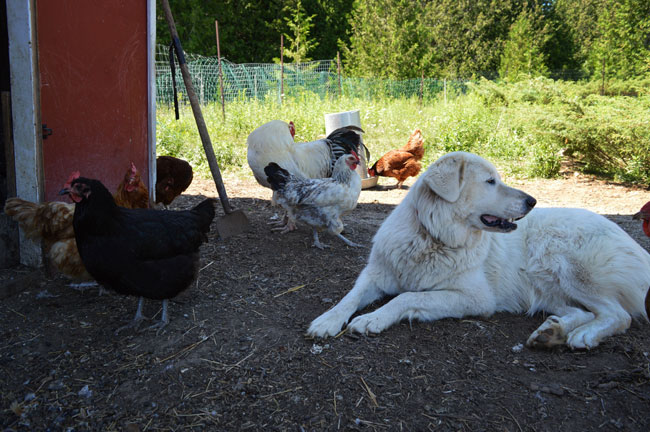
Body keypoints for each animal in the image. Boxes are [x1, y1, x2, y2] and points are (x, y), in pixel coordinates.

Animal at [308, 150, 648, 350]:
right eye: (490, 181)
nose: (532, 201)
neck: (431, 238)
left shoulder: (475, 298)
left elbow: (407, 297)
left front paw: (372, 319)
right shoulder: (375, 275)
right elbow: (349, 298)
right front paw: (327, 321)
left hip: (568, 265)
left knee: (618, 315)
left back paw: (583, 335)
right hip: (550, 287)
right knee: (583, 311)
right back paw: (553, 332)